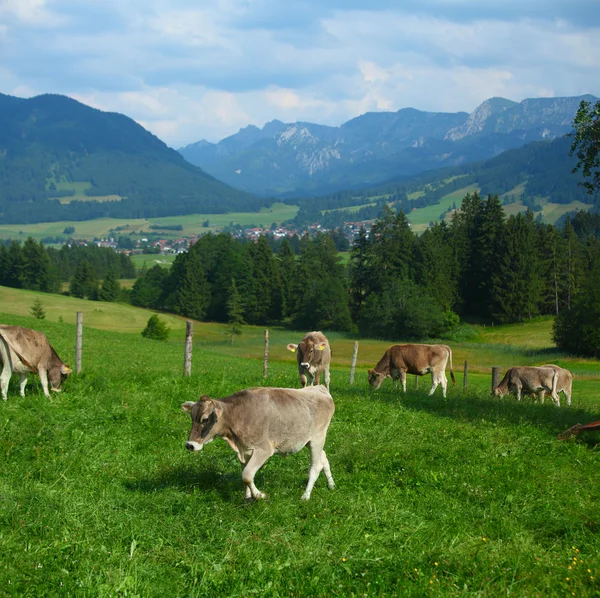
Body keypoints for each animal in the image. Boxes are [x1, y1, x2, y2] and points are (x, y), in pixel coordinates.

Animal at [180, 384, 336, 502]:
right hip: (308, 440)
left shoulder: (264, 449)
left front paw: (259, 495)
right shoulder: (244, 450)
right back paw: (331, 485)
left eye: (205, 419)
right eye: (192, 417)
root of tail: (319, 388)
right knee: (324, 458)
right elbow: (244, 475)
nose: (190, 445)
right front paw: (247, 498)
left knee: (315, 466)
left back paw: (305, 496)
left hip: (317, 437)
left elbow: (247, 475)